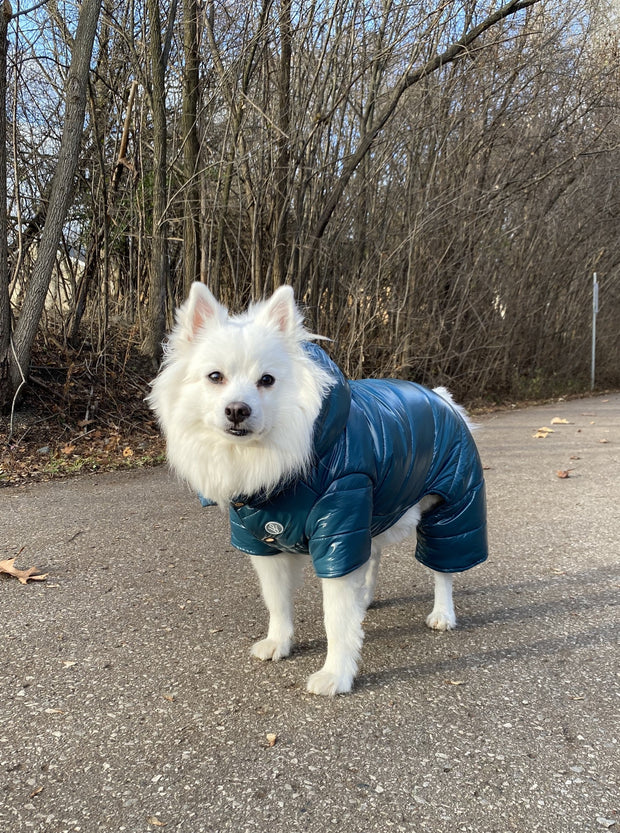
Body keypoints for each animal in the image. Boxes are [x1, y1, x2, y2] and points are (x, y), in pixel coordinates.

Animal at [148, 286, 486, 696]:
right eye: (215, 377)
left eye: (267, 380)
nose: (237, 410)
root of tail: (442, 397)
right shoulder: (265, 541)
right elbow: (277, 602)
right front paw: (280, 642)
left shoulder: (338, 528)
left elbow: (335, 619)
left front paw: (337, 673)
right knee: (372, 557)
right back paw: (365, 600)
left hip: (453, 509)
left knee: (443, 570)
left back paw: (442, 612)